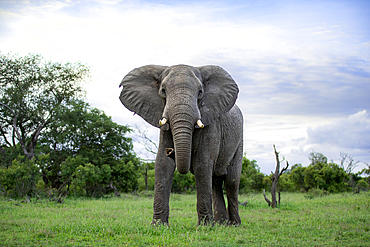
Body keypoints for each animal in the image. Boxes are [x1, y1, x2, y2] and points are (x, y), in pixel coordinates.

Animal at [120, 64, 244, 226]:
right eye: (163, 91)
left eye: (200, 93)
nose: (170, 150)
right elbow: (162, 164)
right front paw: (158, 226)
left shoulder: (211, 124)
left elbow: (202, 164)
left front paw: (204, 227)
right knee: (215, 182)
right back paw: (221, 224)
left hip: (239, 141)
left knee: (231, 182)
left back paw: (234, 225)